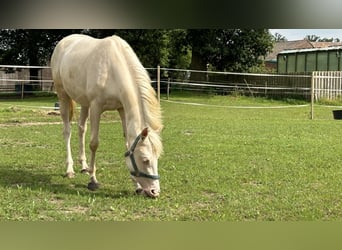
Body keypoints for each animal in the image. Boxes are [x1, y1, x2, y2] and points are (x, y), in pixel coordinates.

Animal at [50, 33, 163, 197]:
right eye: (145, 160)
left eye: (157, 158)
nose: (154, 192)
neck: (112, 70)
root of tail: (63, 42)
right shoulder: (96, 107)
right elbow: (94, 143)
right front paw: (93, 180)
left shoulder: (122, 109)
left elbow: (127, 143)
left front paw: (137, 186)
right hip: (63, 95)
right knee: (67, 131)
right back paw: (69, 170)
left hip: (84, 103)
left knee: (81, 129)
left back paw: (84, 167)